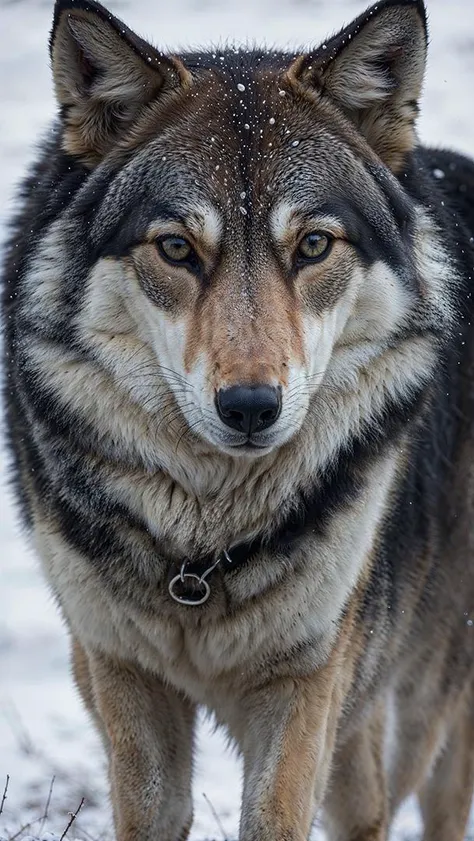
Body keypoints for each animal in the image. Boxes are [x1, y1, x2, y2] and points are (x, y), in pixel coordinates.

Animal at [1, 0, 472, 836]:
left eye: (313, 244)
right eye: (177, 248)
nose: (251, 406)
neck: (205, 549)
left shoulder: (307, 680)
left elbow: (277, 814)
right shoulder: (123, 672)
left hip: (424, 685)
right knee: (369, 804)